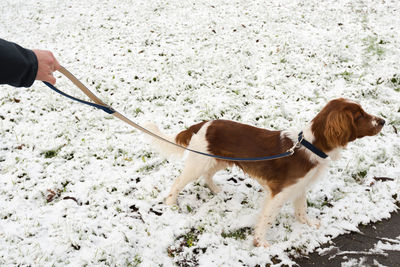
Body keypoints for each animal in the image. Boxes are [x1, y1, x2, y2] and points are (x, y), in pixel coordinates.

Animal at [145, 98, 386, 247]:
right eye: (359, 115)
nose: (383, 120)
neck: (310, 146)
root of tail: (202, 124)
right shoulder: (279, 193)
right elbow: (267, 219)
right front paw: (261, 243)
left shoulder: (299, 188)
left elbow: (302, 210)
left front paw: (308, 224)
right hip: (199, 162)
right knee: (178, 182)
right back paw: (170, 204)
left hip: (216, 160)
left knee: (207, 176)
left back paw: (217, 191)